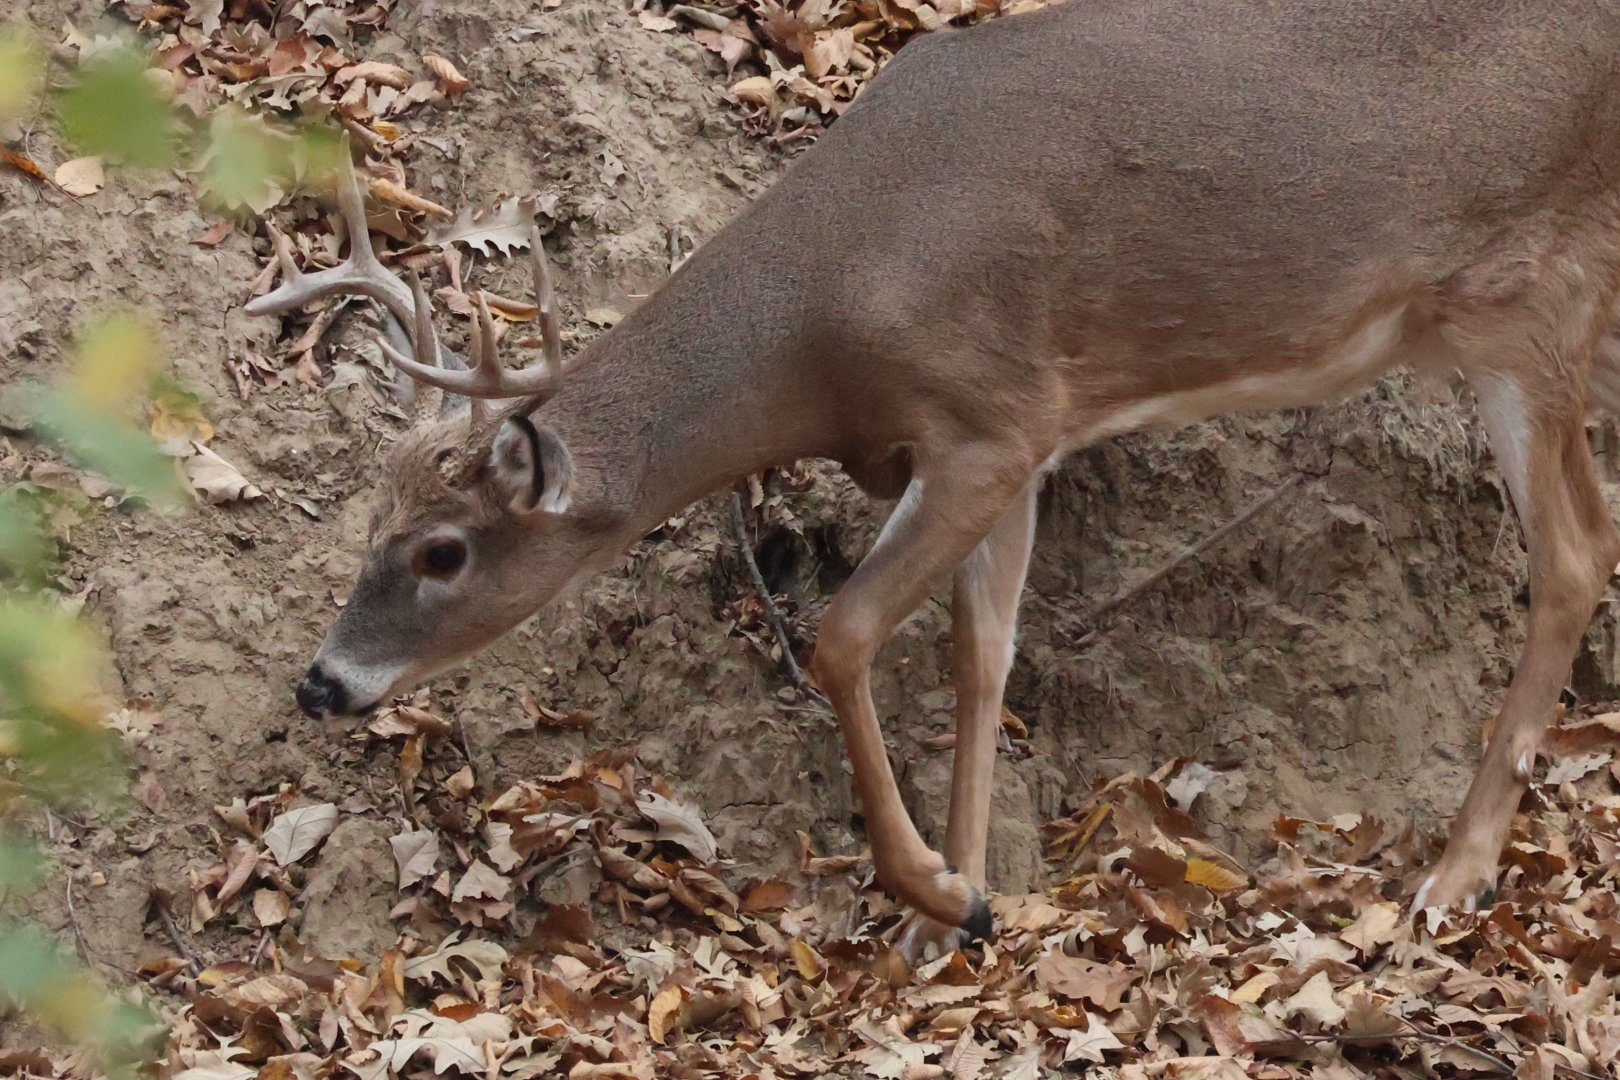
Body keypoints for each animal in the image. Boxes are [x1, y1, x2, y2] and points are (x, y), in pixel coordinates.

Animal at [251, 0, 1620, 953]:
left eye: (443, 550)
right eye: (373, 520)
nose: (322, 684)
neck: (826, 317)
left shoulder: (991, 417)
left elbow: (845, 634)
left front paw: (937, 893)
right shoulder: (1015, 439)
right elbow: (982, 653)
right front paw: (962, 897)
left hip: (1524, 299)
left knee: (1569, 554)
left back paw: (1453, 873)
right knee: (1594, 526)